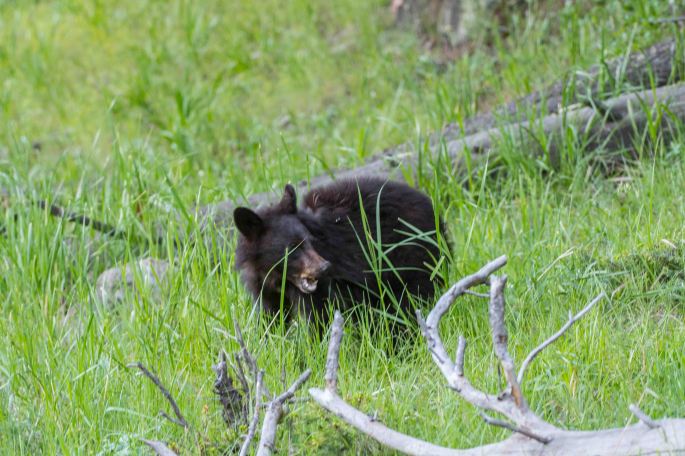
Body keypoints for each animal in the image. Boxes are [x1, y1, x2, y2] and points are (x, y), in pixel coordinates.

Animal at [233, 177, 447, 324]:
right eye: (291, 249)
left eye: (309, 241)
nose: (324, 267)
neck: (278, 278)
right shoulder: (263, 288)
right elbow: (271, 318)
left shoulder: (325, 286)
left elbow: (320, 317)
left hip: (412, 258)